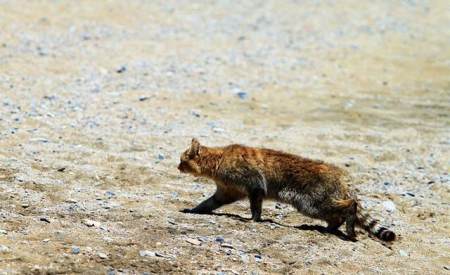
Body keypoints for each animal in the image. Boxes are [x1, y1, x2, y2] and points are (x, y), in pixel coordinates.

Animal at [178, 139, 396, 243]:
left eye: (182, 160)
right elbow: (207, 203)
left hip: (311, 202)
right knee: (337, 215)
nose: (177, 167)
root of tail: (342, 176)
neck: (218, 160)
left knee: (350, 205)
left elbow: (255, 207)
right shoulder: (227, 191)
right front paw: (194, 210)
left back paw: (347, 226)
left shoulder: (254, 185)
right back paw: (330, 228)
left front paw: (254, 219)